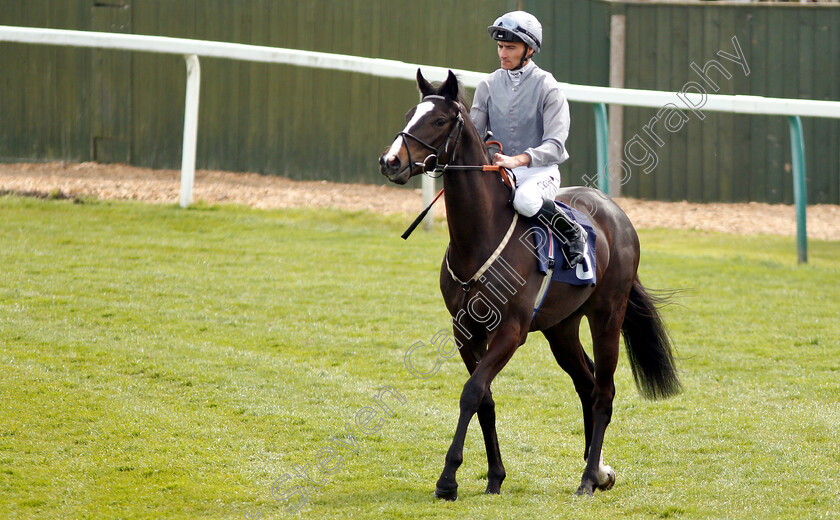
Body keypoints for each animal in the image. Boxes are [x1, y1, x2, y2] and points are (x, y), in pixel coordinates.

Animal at [378, 69, 680, 500]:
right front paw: (494, 476)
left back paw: (587, 479)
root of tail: (616, 214)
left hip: (607, 315)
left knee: (603, 392)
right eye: (409, 114)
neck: (479, 238)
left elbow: (472, 391)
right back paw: (599, 470)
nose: (391, 162)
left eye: (438, 120)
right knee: (586, 384)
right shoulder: (464, 331)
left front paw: (448, 478)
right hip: (561, 328)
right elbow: (484, 399)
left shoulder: (511, 330)